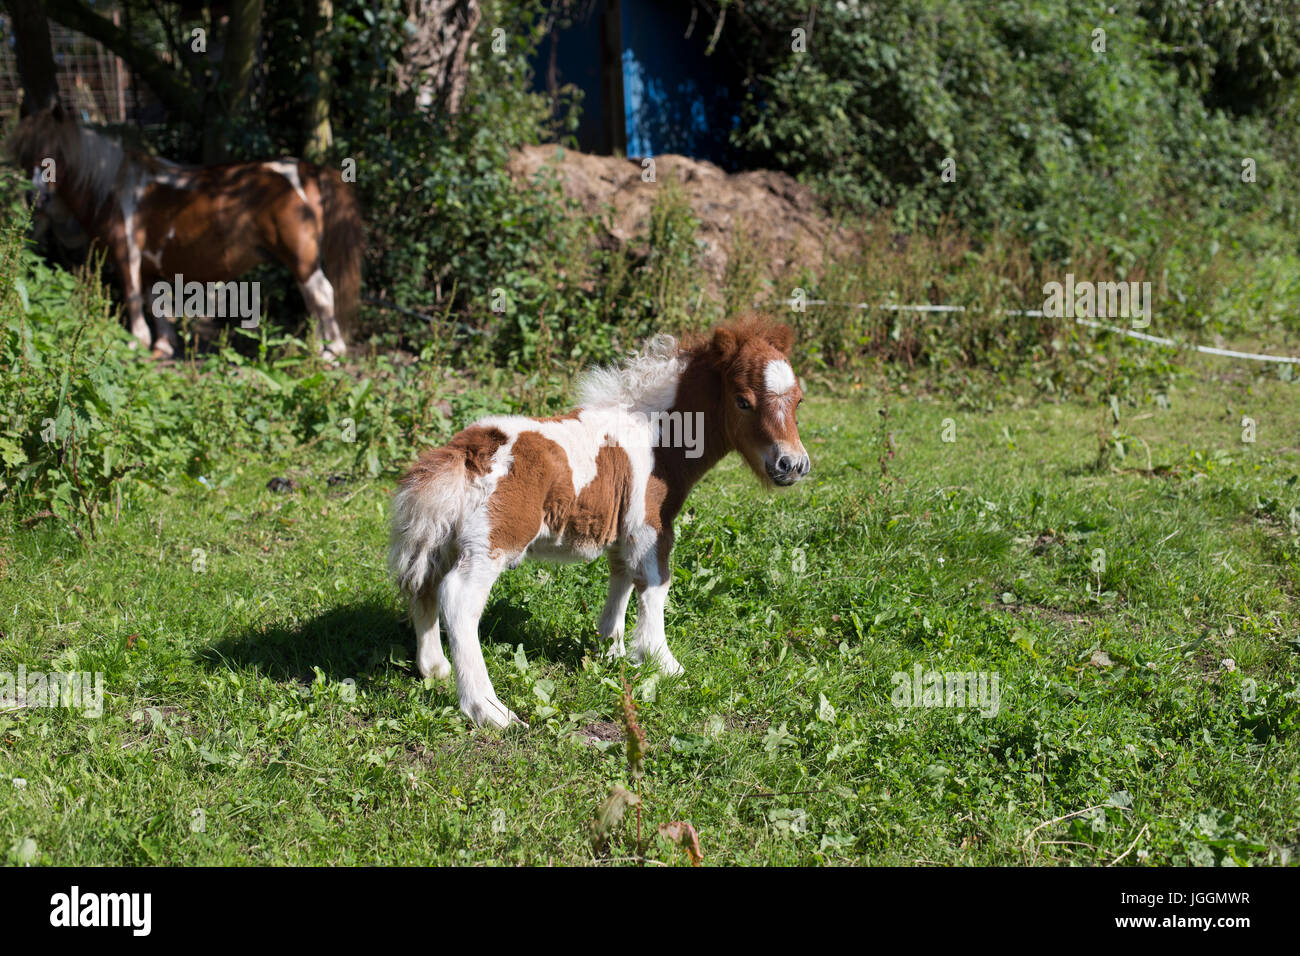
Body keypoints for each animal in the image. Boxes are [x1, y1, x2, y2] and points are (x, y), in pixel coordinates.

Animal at [8, 102, 361, 358]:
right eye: (24, 155)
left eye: (57, 153)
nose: (37, 198)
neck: (112, 188)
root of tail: (308, 170)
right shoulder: (149, 266)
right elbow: (156, 304)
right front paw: (162, 346)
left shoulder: (126, 255)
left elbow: (133, 299)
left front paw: (137, 342)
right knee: (314, 301)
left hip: (301, 258)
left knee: (322, 295)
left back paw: (332, 352)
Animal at [387, 317, 811, 728]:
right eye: (743, 400)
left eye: (798, 401)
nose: (792, 465)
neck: (659, 437)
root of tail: (467, 453)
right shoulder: (650, 525)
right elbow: (655, 585)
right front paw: (664, 663)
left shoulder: (622, 531)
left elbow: (621, 578)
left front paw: (613, 650)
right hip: (493, 542)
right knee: (458, 599)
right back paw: (489, 711)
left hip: (444, 539)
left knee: (424, 585)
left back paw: (435, 669)